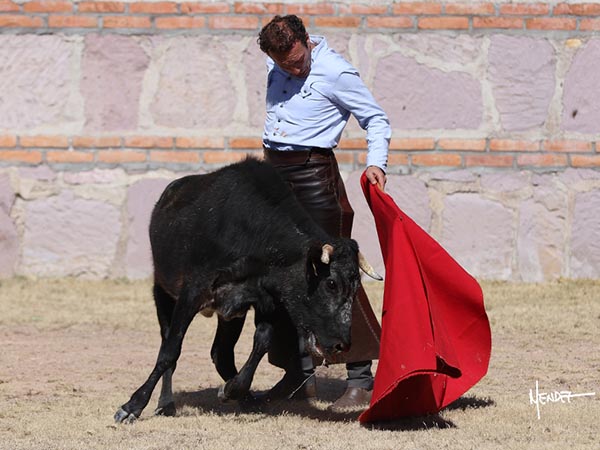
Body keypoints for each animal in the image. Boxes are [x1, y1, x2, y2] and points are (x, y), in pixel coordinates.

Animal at [114, 158, 378, 422]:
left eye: (356, 287)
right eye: (331, 283)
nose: (341, 345)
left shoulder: (264, 301)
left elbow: (262, 342)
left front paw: (231, 390)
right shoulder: (192, 292)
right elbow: (170, 350)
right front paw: (132, 406)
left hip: (229, 315)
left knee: (221, 353)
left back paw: (245, 399)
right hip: (163, 292)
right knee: (168, 342)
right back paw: (166, 403)